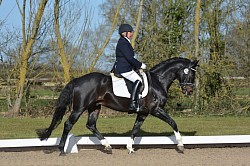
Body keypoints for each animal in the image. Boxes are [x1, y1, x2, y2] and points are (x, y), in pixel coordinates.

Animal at [36, 57, 198, 156]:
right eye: (190, 74)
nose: (189, 91)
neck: (158, 81)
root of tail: (77, 80)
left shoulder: (143, 113)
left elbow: (135, 129)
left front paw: (130, 148)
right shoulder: (156, 110)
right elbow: (173, 123)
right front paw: (180, 145)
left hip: (95, 107)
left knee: (91, 125)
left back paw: (107, 146)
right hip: (79, 108)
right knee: (68, 124)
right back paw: (62, 150)